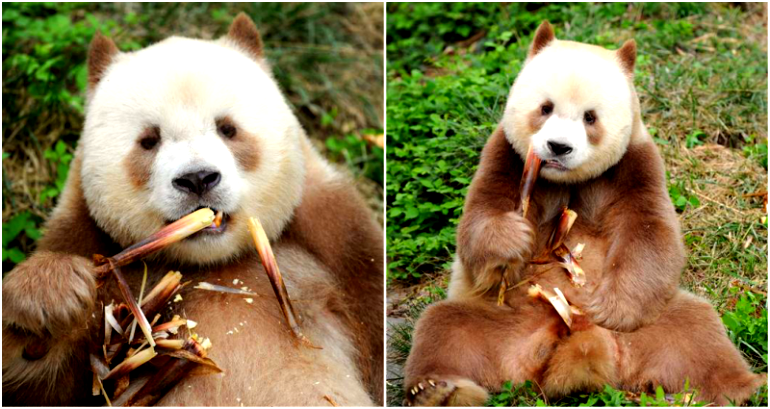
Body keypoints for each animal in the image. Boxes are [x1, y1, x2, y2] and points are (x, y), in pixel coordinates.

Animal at [1, 12, 382, 404]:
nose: (198, 179)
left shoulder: (339, 243)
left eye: (228, 129)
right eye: (149, 140)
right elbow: (47, 387)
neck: (214, 263)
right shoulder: (86, 238)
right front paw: (50, 298)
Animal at [402, 21, 760, 404]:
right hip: (498, 323)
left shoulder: (633, 165)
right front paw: (512, 240)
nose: (558, 147)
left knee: (697, 331)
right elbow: (478, 220)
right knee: (444, 329)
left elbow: (649, 233)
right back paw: (436, 389)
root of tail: (579, 348)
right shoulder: (507, 157)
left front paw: (612, 308)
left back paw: (745, 388)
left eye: (590, 117)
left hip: (652, 326)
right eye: (545, 108)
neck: (567, 179)